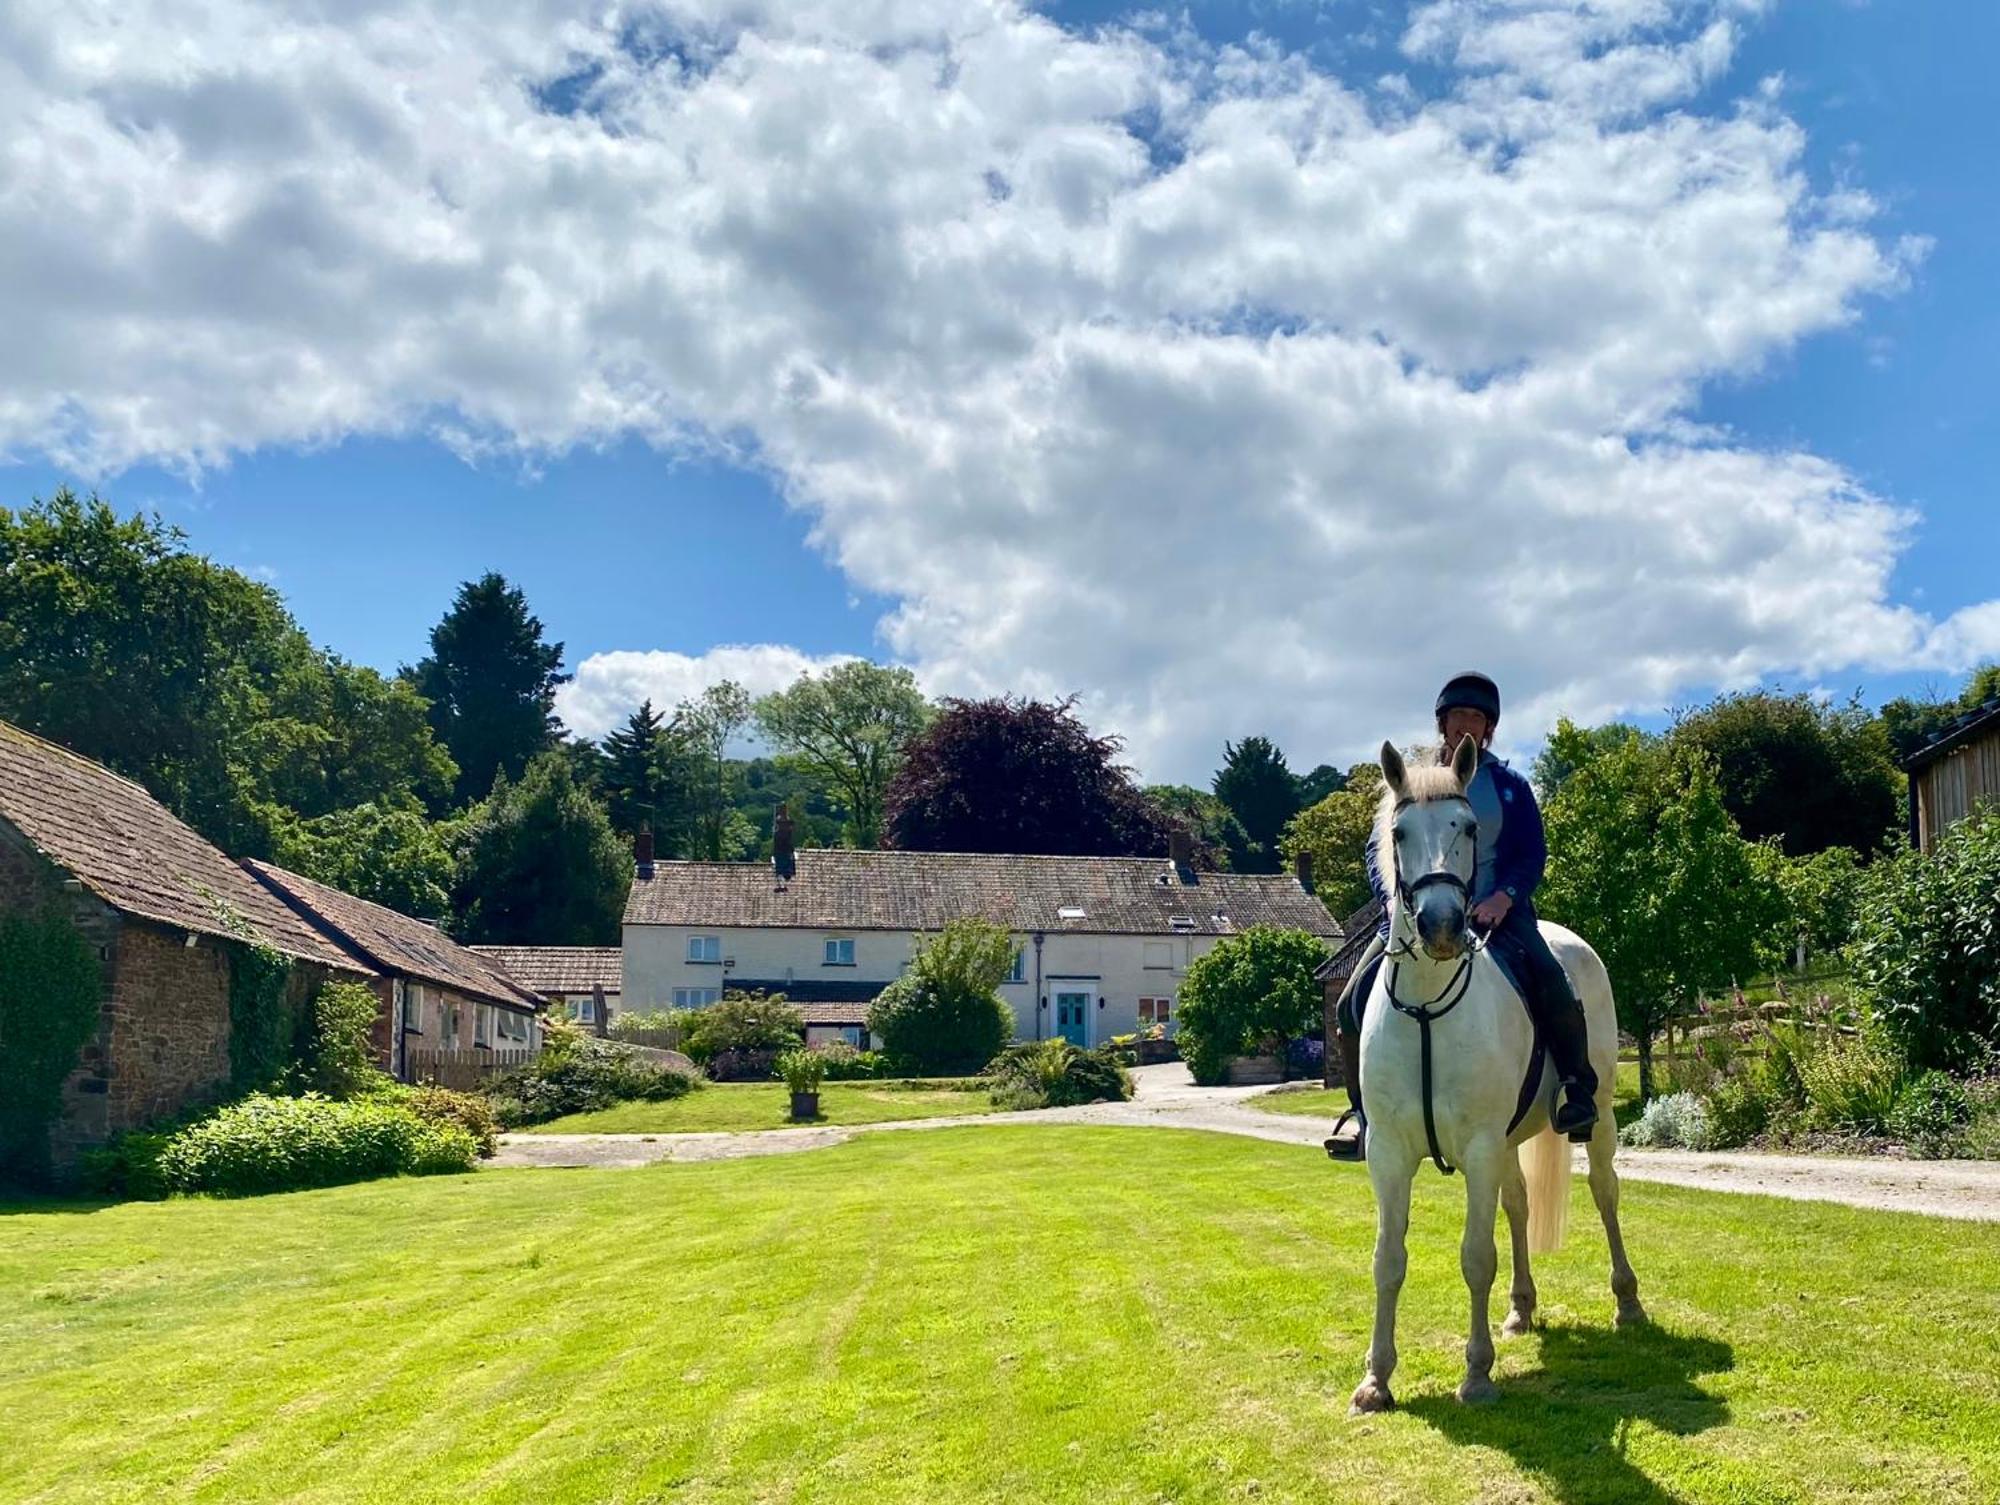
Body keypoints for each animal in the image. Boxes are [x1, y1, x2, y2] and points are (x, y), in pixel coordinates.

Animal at [1344, 736, 1640, 1416]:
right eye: (1398, 833)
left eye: (1470, 827)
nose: (1443, 927)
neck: (1428, 1004)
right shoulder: (1389, 1153)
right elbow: (1387, 1259)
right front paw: (1376, 1379)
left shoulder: (1478, 1148)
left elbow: (1476, 1256)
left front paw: (1476, 1374)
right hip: (1508, 1144)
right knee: (1519, 1205)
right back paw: (1521, 1310)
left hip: (1597, 1121)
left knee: (1605, 1194)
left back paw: (1628, 1302)